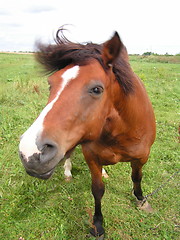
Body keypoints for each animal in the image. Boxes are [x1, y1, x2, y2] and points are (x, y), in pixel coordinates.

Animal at [18, 30, 156, 238]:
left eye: (97, 89)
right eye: (51, 84)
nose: (30, 153)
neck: (121, 131)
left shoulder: (142, 157)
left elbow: (136, 178)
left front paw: (141, 199)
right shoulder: (91, 157)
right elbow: (97, 190)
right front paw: (98, 225)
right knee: (68, 153)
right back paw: (67, 171)